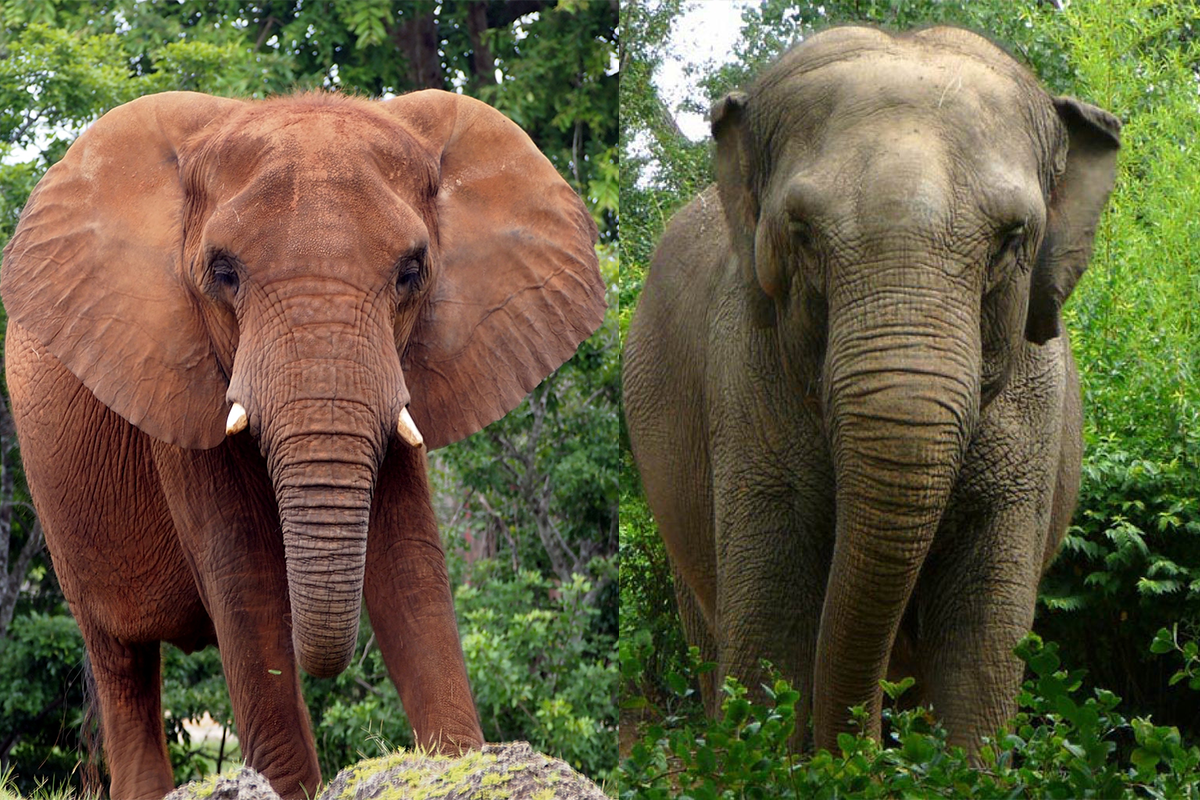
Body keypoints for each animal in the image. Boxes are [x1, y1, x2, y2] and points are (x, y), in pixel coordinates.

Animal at [0, 89, 600, 800]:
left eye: (412, 271)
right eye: (222, 273)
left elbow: (411, 563)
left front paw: (462, 766)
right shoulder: (177, 372)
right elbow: (244, 570)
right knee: (121, 660)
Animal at [624, 23, 1118, 753]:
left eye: (1012, 239)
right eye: (801, 234)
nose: (848, 756)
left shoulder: (1034, 408)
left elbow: (980, 645)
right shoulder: (744, 371)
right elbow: (772, 632)